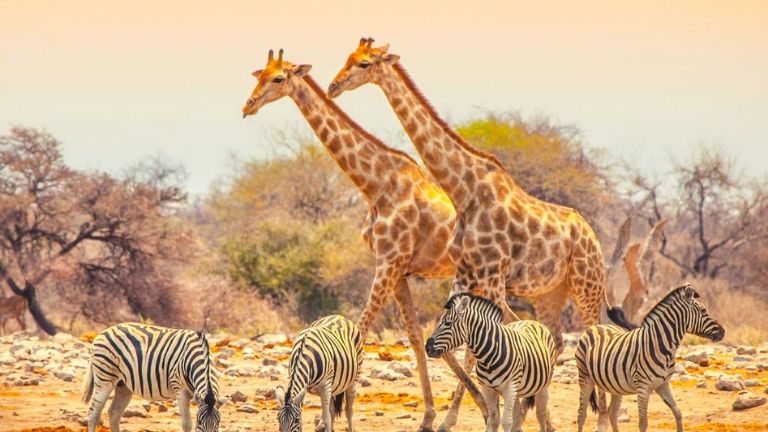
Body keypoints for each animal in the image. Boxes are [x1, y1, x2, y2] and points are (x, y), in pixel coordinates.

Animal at [83, 324, 225, 432]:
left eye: (218, 423)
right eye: (199, 423)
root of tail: (104, 331)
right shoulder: (180, 390)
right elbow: (187, 424)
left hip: (123, 385)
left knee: (114, 413)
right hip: (104, 378)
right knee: (93, 414)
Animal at [242, 49, 480, 430]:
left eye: (278, 78)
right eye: (259, 75)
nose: (248, 106)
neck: (377, 186)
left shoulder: (388, 263)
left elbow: (362, 332)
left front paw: (334, 411)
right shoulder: (396, 269)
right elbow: (414, 336)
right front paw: (427, 415)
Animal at [426, 294, 560, 432]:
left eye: (448, 323)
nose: (427, 348)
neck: (488, 358)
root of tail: (530, 321)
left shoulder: (510, 386)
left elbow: (506, 421)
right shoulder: (487, 389)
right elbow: (494, 420)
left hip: (543, 385)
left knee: (540, 414)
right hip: (517, 390)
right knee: (518, 416)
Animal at [576, 284, 728, 432]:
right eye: (703, 310)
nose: (723, 332)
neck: (661, 346)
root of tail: (596, 326)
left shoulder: (663, 384)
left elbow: (678, 412)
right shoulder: (643, 388)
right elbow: (643, 423)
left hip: (615, 386)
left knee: (612, 414)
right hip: (585, 378)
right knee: (581, 415)